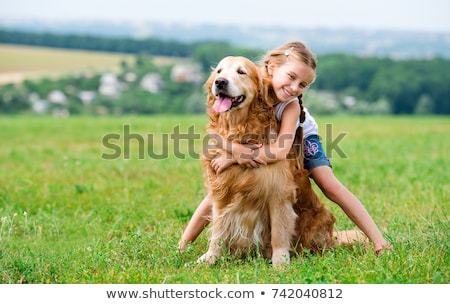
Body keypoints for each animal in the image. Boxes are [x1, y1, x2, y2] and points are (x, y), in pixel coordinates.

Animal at [199, 55, 336, 268]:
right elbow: (218, 230)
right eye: (219, 71)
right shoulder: (222, 192)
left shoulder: (278, 194)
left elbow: (279, 233)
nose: (220, 82)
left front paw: (280, 263)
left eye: (241, 72)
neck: (242, 129)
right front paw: (210, 258)